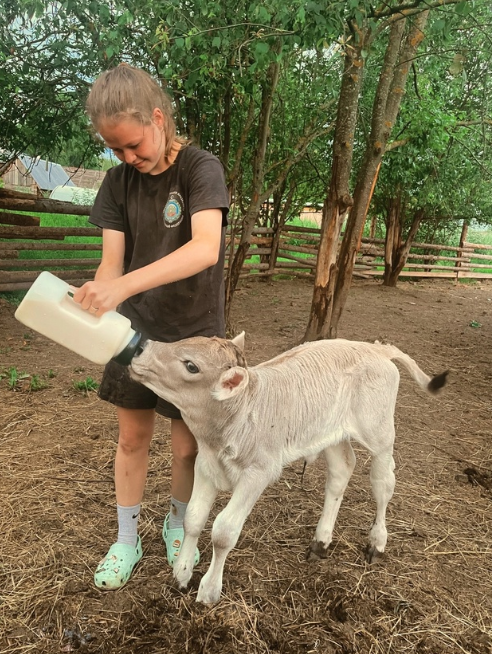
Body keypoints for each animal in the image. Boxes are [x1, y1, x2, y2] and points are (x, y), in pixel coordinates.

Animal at [129, 334, 448, 604]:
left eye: (191, 366)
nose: (142, 346)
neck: (237, 417)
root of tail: (376, 348)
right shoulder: (206, 464)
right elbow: (194, 518)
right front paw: (181, 574)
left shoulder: (259, 471)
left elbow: (224, 531)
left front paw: (208, 591)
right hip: (332, 433)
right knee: (342, 470)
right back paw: (321, 541)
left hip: (379, 431)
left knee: (383, 482)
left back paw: (377, 542)